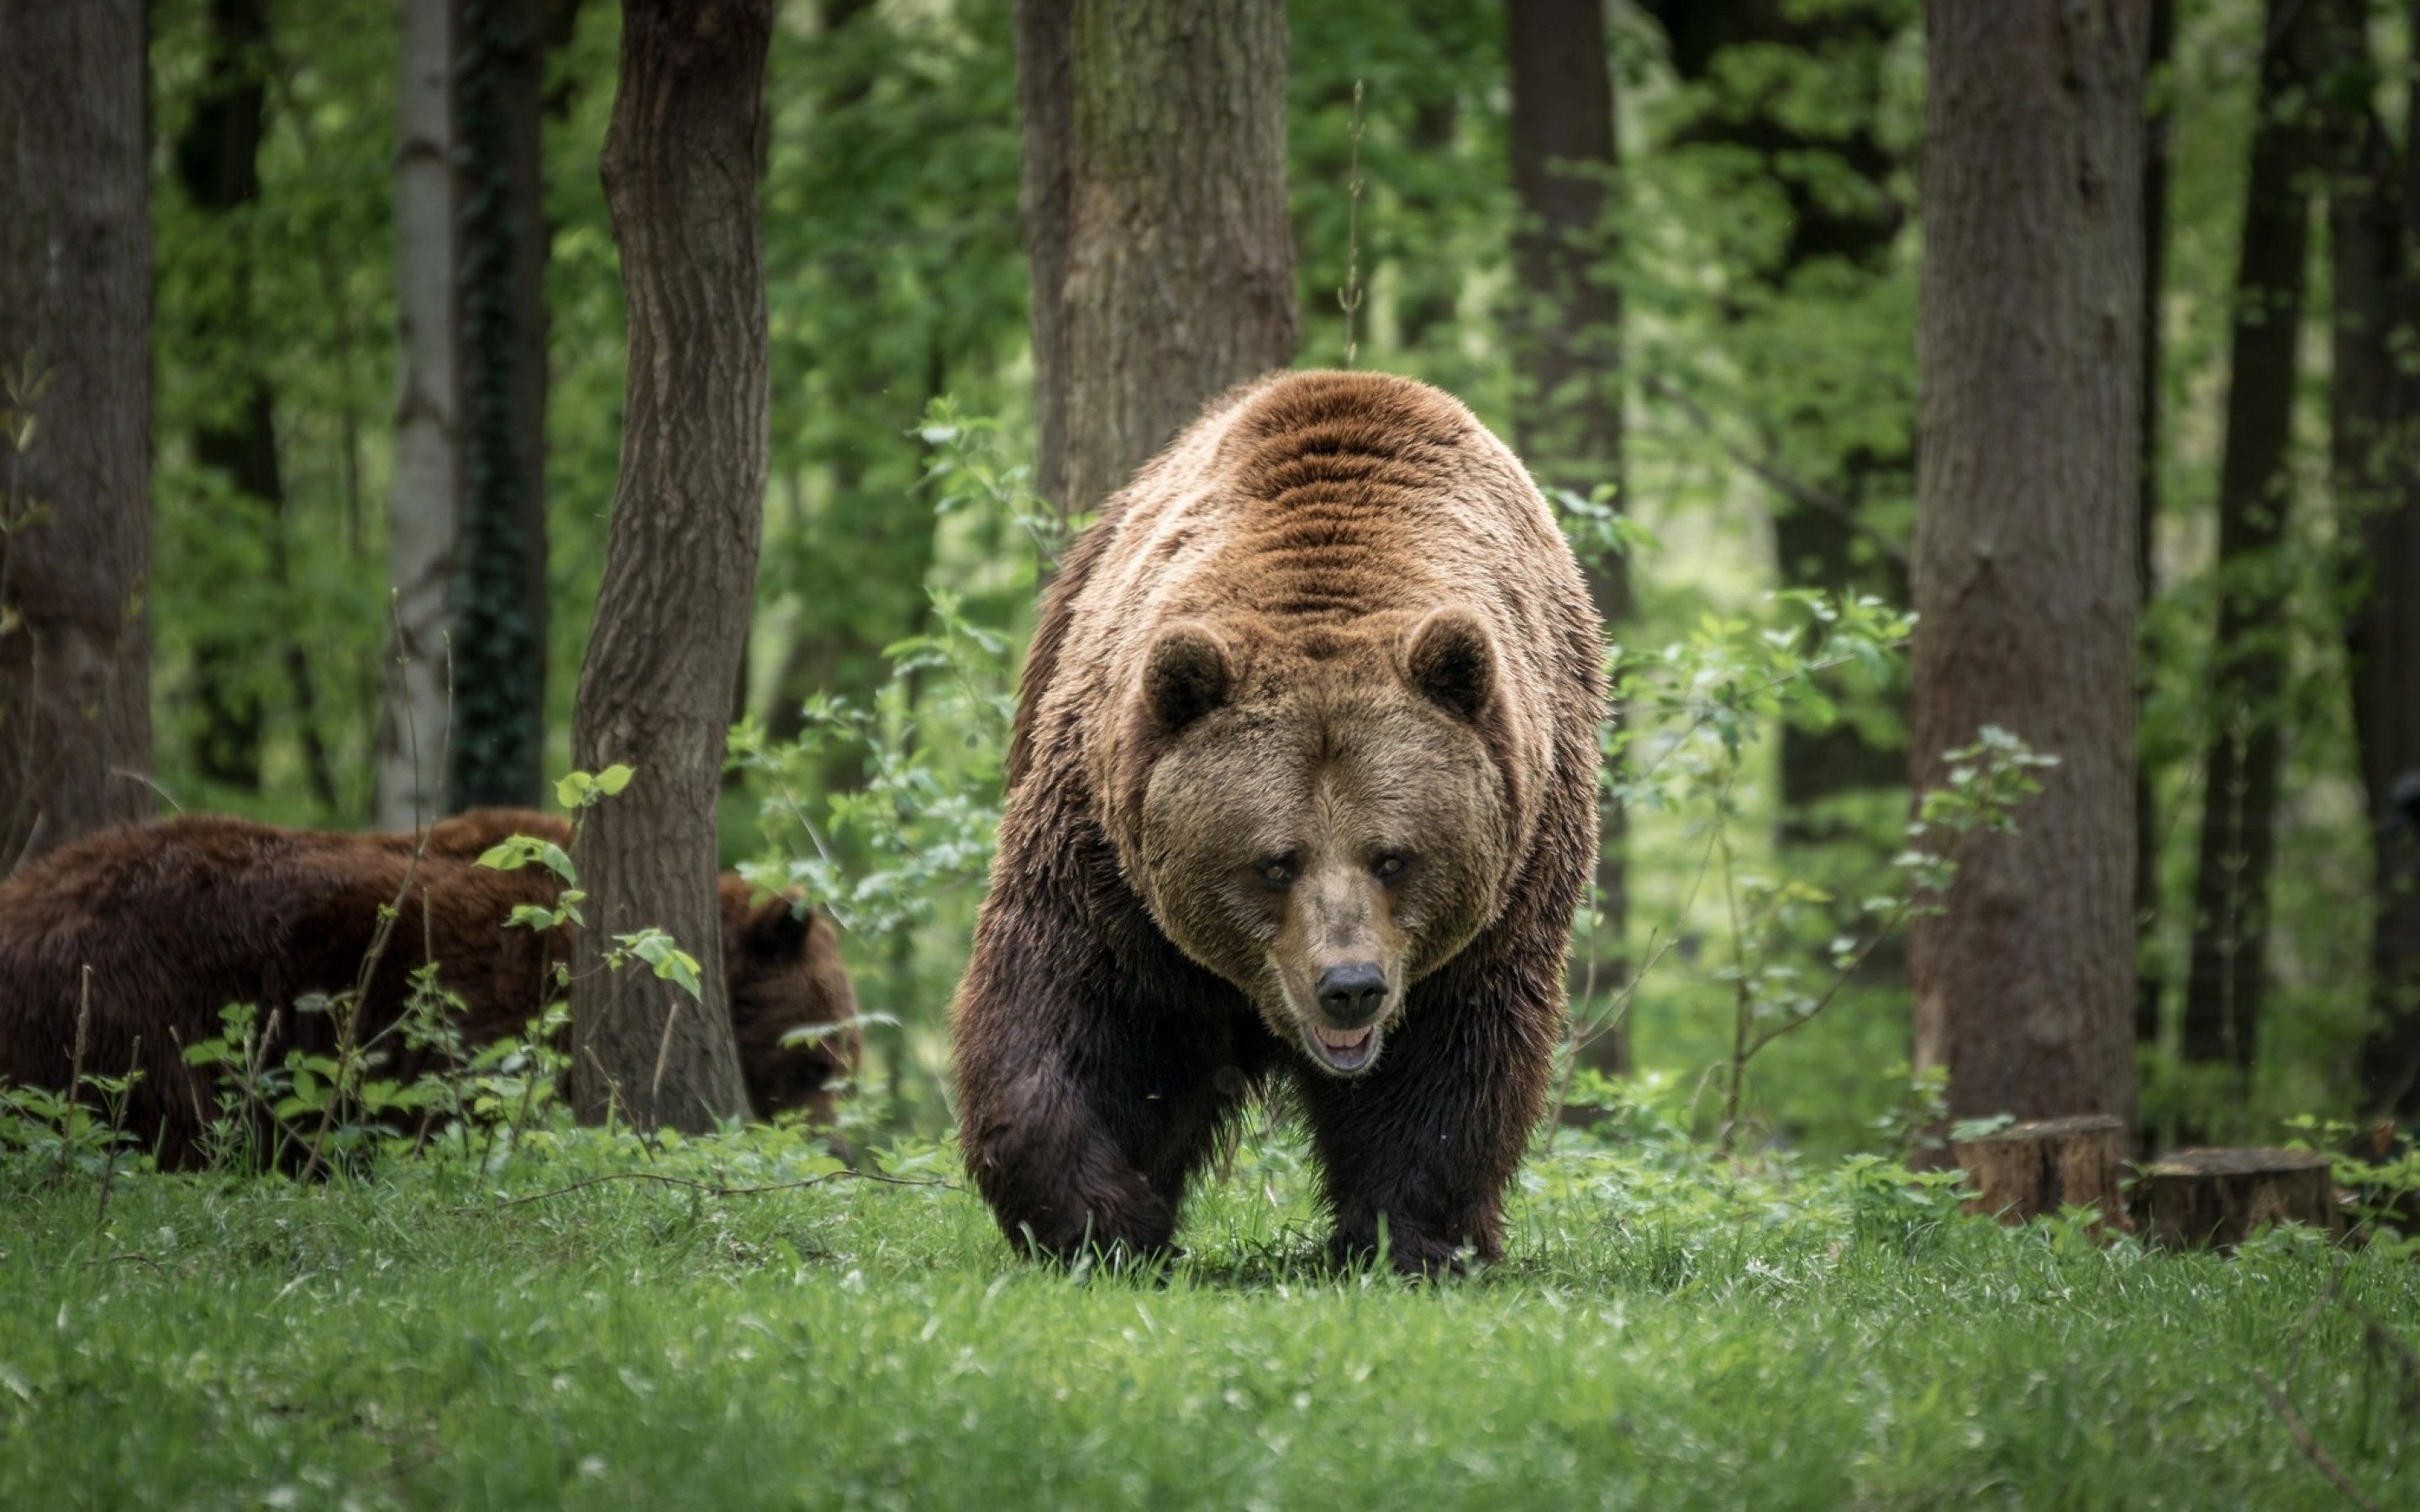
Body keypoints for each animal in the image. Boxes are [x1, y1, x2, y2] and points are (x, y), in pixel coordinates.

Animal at [952, 370, 1604, 1275]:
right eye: (1274, 862)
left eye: (1393, 857)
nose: (1350, 987)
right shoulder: (1107, 862)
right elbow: (1067, 1011)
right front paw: (1101, 1219)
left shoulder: (1510, 879)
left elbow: (1452, 1064)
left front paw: (1411, 1239)